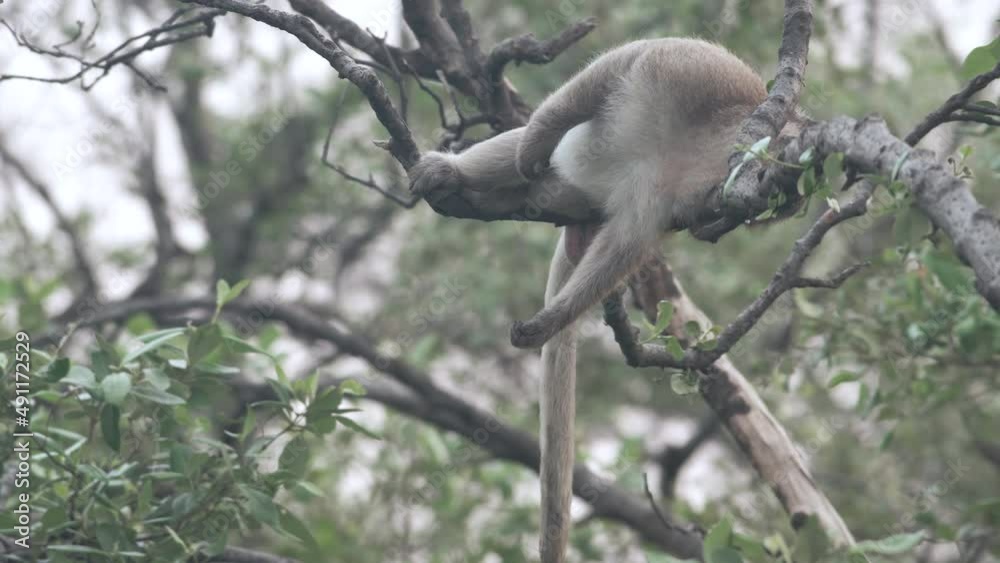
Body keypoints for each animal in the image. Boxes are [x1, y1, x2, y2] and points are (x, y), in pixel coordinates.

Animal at [408, 37, 802, 563]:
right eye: (780, 185)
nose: (787, 200)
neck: (698, 154)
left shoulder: (681, 197)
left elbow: (626, 245)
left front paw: (549, 321)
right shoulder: (694, 77)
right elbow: (618, 67)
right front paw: (534, 143)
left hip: (571, 193)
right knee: (524, 145)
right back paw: (457, 170)